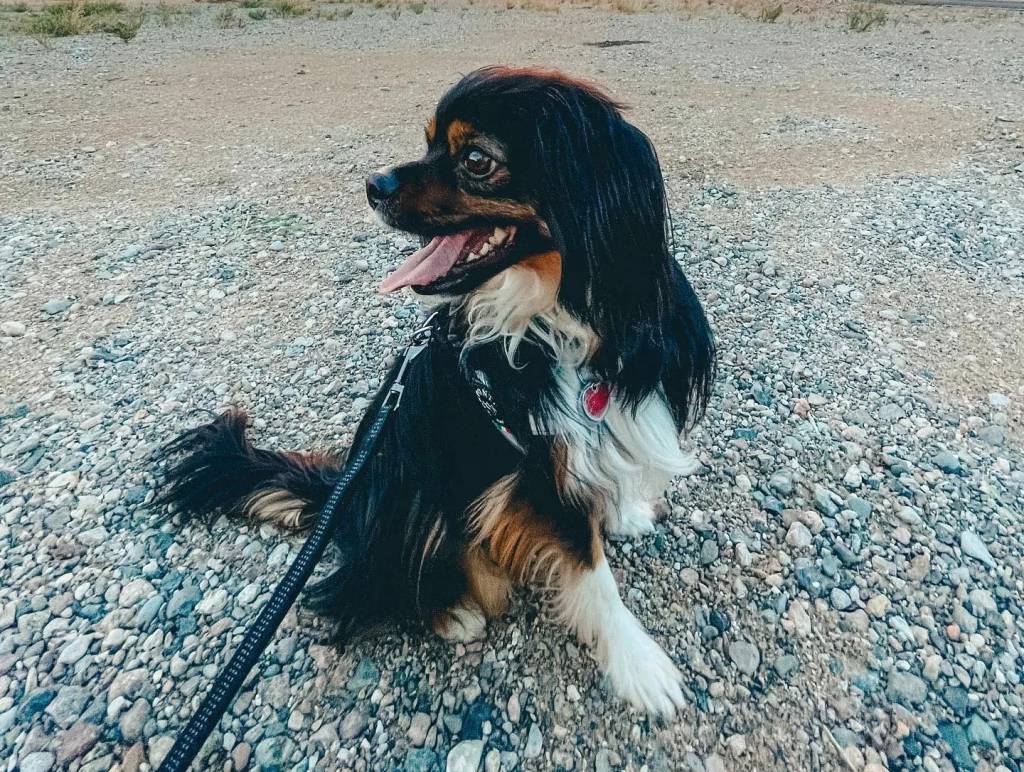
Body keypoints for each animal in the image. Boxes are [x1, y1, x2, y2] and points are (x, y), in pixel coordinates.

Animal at [156, 66, 715, 717]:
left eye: (475, 160)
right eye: (427, 143)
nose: (372, 185)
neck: (561, 316)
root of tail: (345, 497)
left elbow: (609, 472)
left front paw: (622, 511)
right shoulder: (531, 471)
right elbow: (593, 572)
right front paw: (640, 664)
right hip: (410, 493)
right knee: (382, 579)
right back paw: (452, 614)